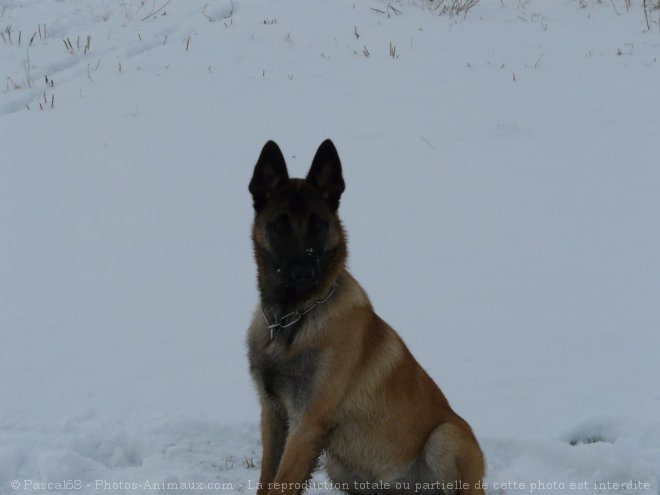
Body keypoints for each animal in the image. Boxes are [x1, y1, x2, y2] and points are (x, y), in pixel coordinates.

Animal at [248, 140, 484, 495]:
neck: (291, 318)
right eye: (281, 224)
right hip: (340, 467)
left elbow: (281, 483)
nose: (304, 273)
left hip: (445, 437)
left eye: (317, 223)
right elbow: (267, 478)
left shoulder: (308, 422)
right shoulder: (273, 414)